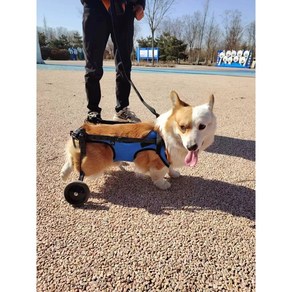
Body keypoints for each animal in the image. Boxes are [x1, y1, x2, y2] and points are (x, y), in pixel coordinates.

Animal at [60, 92, 217, 190]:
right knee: (75, 163)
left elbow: (170, 167)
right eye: (182, 127)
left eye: (202, 126)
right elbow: (159, 173)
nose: (191, 147)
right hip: (94, 164)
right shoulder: (158, 162)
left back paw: (63, 173)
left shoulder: (169, 158)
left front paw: (173, 174)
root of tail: (82, 131)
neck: (168, 135)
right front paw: (162, 184)